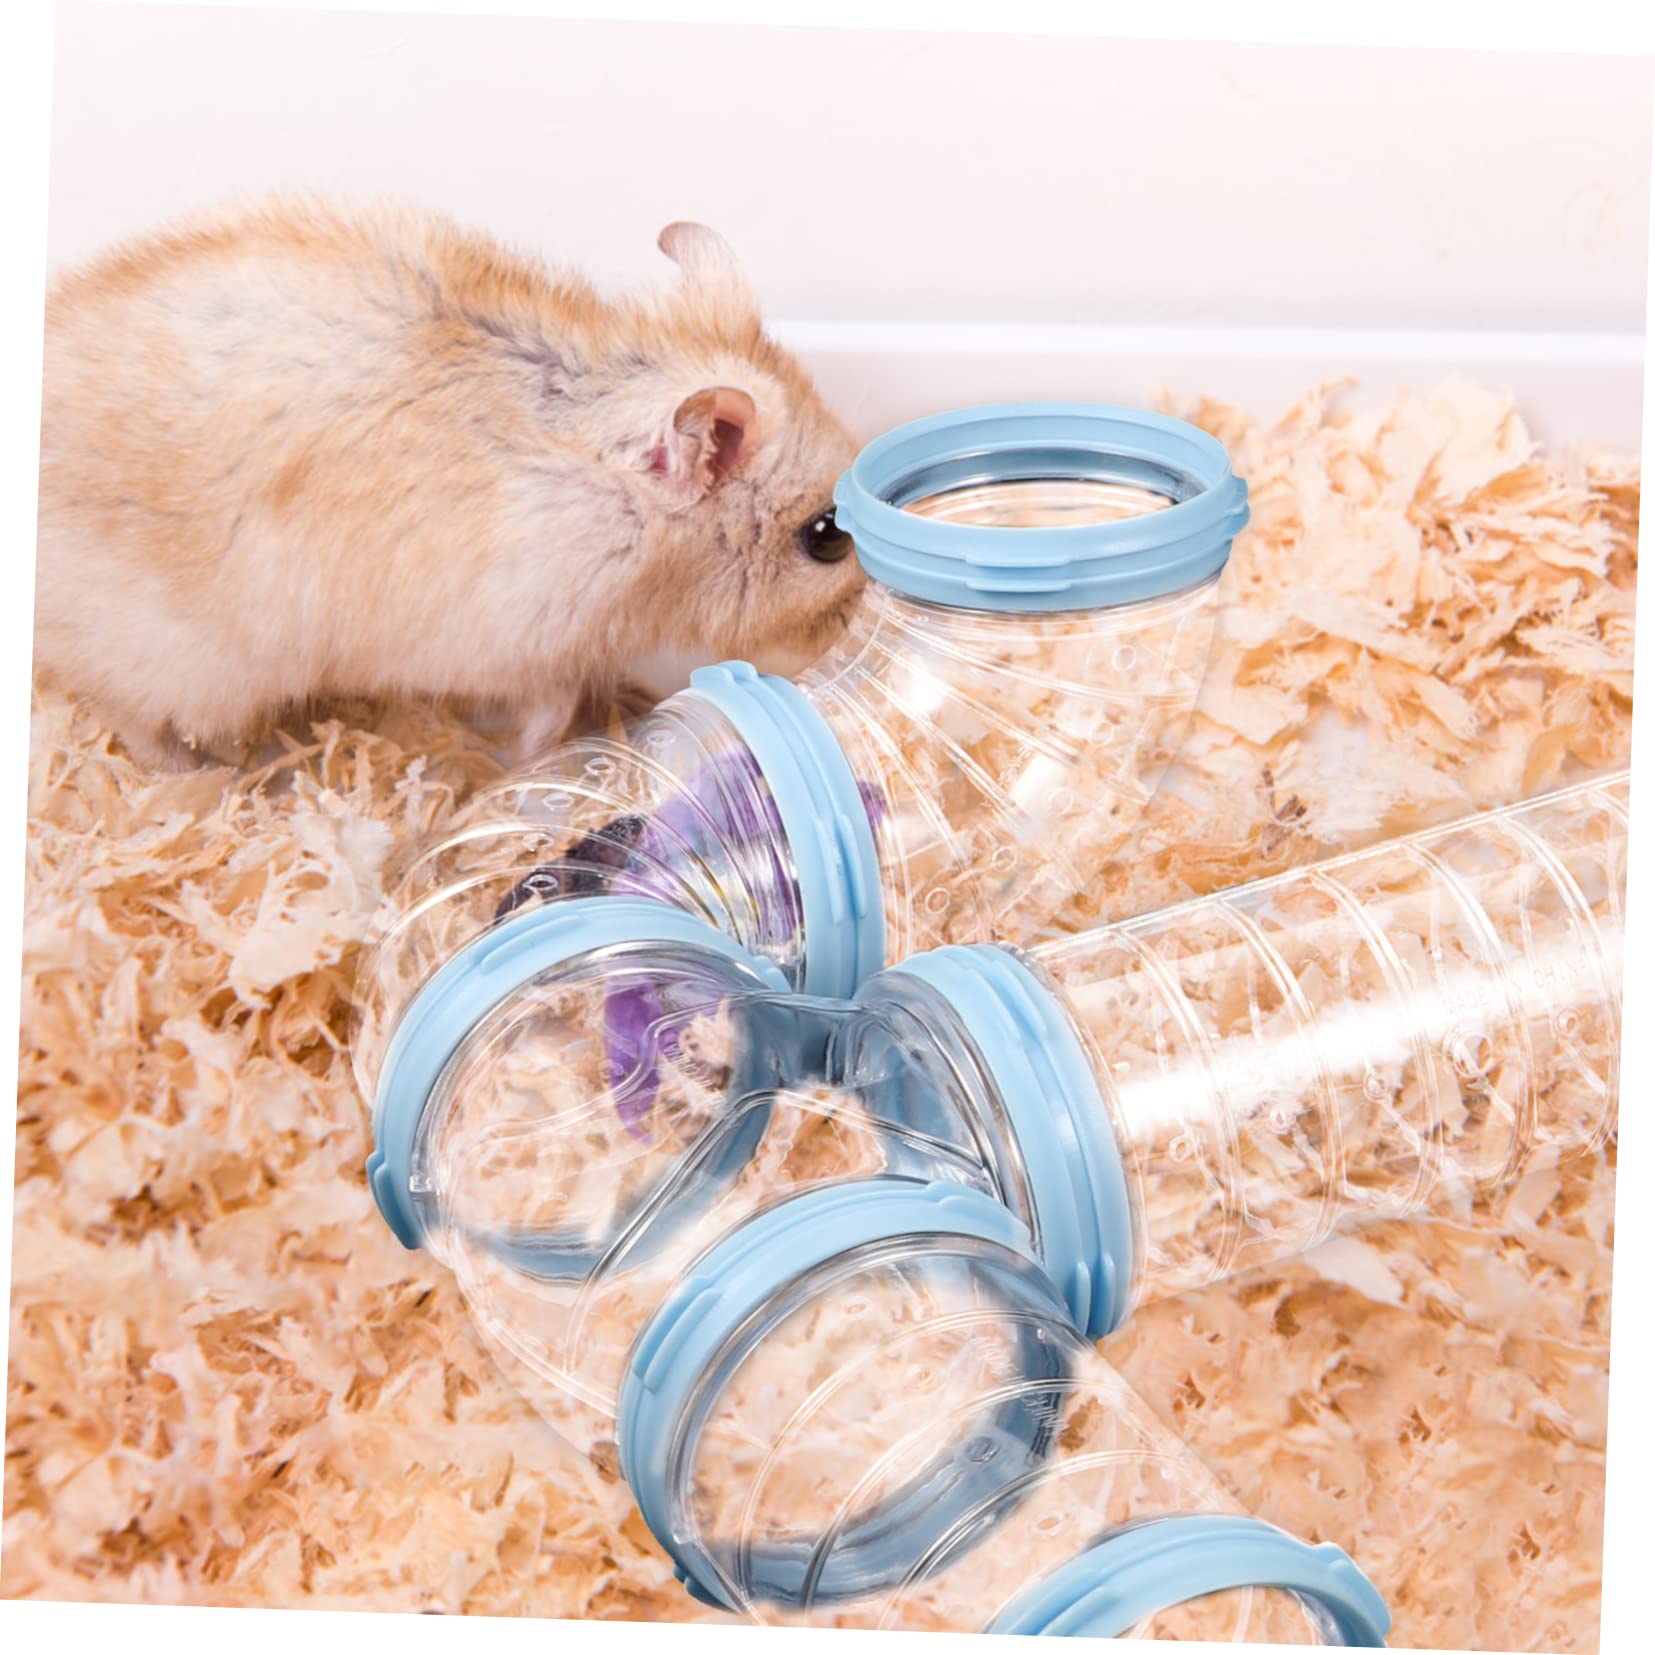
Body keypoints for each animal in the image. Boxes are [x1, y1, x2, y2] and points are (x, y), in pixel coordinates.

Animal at [34, 197, 865, 768]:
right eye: (825, 535)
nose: (847, 635)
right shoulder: (524, 647)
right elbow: (548, 711)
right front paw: (514, 761)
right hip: (177, 665)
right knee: (131, 721)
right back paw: (211, 774)